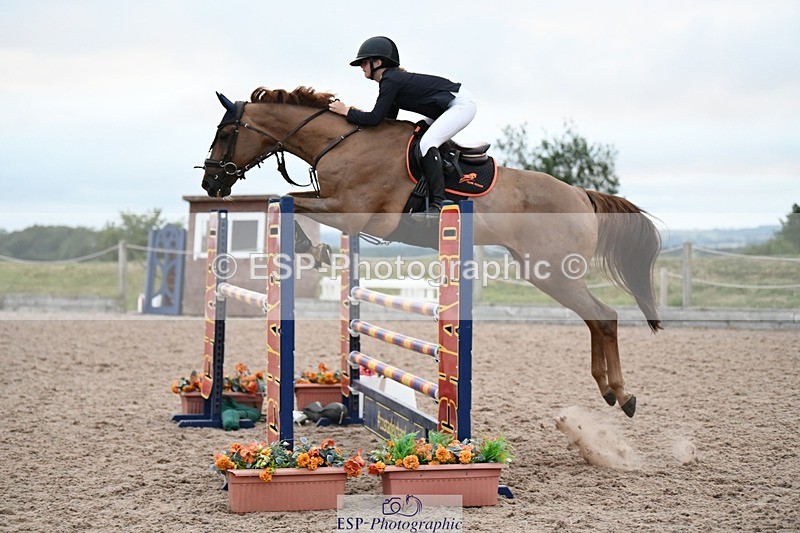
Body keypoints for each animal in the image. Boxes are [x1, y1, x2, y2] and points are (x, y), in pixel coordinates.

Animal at [198, 86, 662, 418]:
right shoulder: (338, 207)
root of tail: (582, 196)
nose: (210, 184)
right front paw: (314, 249)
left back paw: (623, 394)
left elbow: (288, 199)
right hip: (547, 273)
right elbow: (291, 198)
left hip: (551, 272)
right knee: (595, 319)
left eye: (225, 133)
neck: (342, 141)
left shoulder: (351, 212)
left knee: (604, 316)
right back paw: (609, 391)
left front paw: (312, 249)